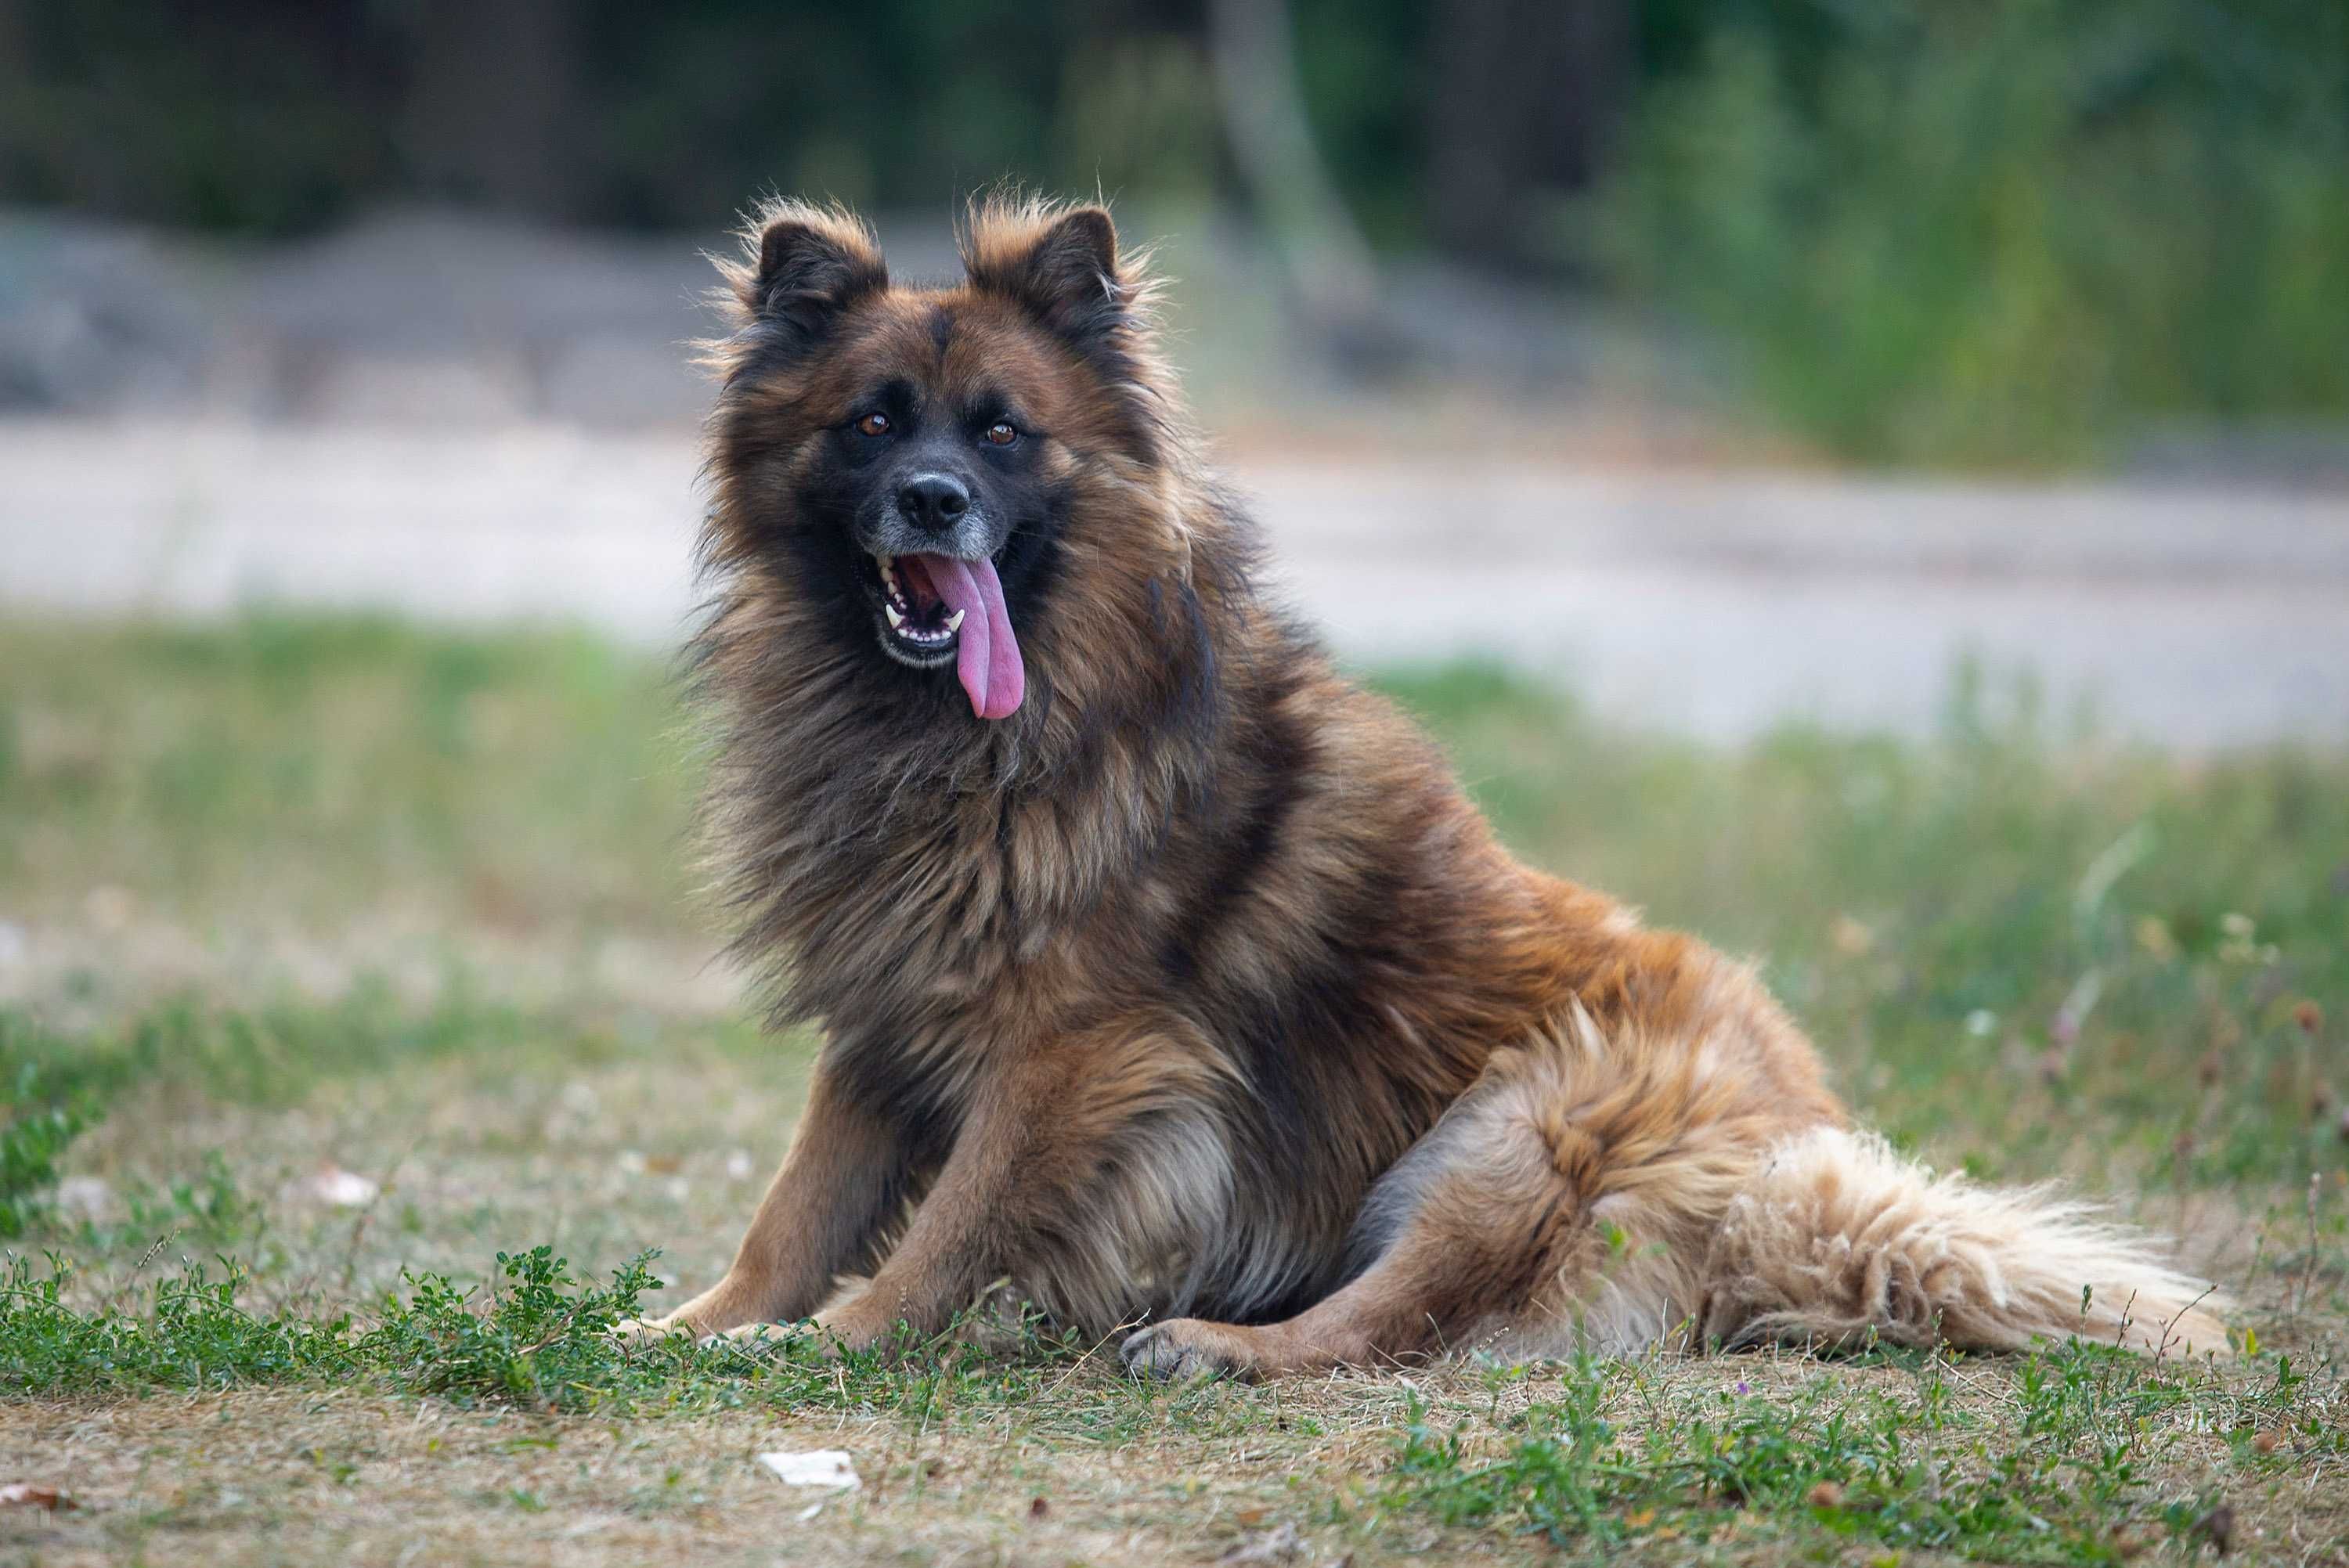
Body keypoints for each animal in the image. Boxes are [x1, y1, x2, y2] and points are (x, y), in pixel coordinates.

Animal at [630, 192, 2236, 1371]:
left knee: (1392, 1317)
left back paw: (1217, 1342)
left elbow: (949, 1224)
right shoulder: (890, 1008)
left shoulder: (1076, 1052)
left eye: (1003, 429)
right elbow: (796, 1206)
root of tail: (1796, 1160)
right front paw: (696, 1325)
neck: (967, 733)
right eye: (872, 420)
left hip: (1522, 1126)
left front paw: (844, 1336)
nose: (935, 501)